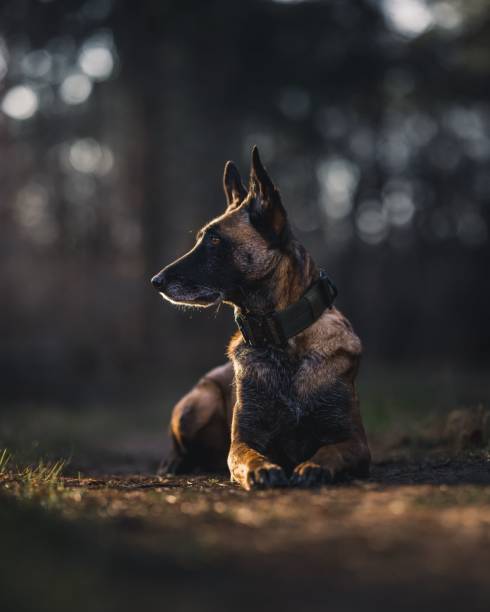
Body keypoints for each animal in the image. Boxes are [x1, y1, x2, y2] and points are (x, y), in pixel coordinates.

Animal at [151, 146, 370, 490]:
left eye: (214, 240)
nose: (156, 281)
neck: (281, 338)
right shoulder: (242, 441)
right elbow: (248, 456)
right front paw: (263, 468)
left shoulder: (356, 442)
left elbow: (332, 451)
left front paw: (315, 465)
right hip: (197, 403)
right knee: (181, 446)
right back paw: (173, 463)